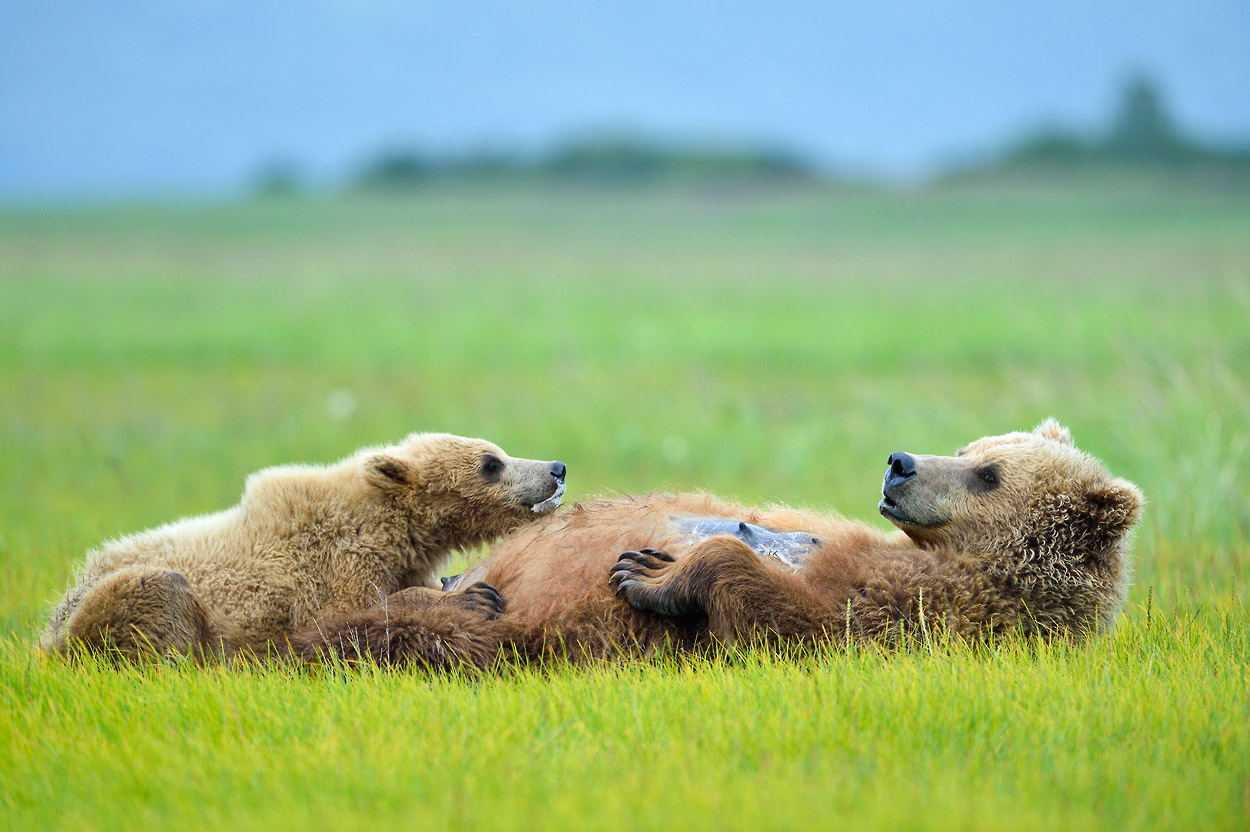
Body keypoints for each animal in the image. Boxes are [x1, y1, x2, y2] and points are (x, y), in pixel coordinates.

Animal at [40, 429, 567, 659]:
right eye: (491, 463)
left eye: (498, 451)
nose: (556, 468)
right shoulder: (331, 562)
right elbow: (347, 613)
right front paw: (473, 597)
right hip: (112, 606)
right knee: (163, 601)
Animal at [295, 417, 1145, 664]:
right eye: (971, 448)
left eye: (990, 475)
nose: (901, 463)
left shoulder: (914, 614)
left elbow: (783, 618)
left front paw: (649, 569)